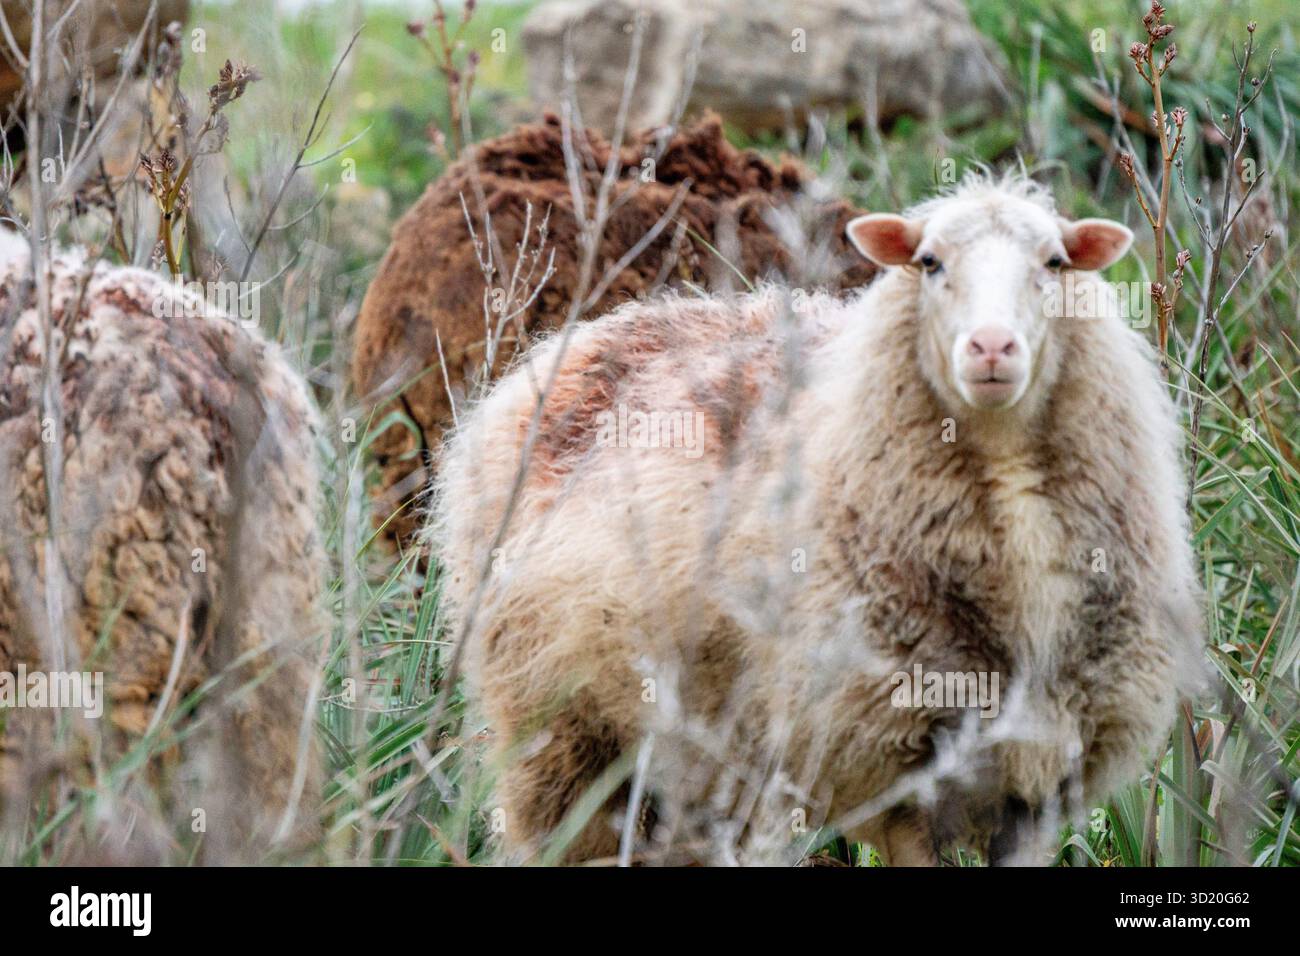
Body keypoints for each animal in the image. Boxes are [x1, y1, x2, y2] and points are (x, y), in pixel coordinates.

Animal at [431, 172, 1204, 865]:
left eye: (1054, 262)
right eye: (930, 262)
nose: (991, 347)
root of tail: (587, 334)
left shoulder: (1038, 782)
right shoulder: (890, 767)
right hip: (555, 728)